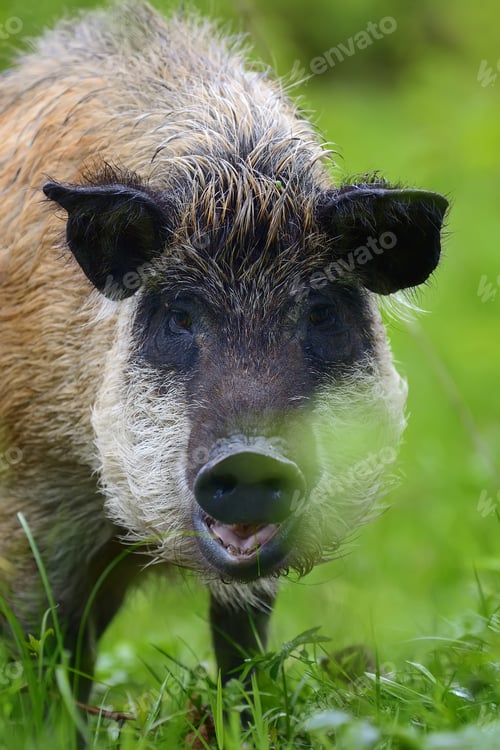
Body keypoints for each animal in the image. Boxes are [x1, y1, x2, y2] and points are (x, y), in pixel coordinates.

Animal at [0, 0, 448, 700]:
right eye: (181, 316)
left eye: (321, 313)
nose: (251, 458)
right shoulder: (31, 492)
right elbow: (44, 641)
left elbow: (240, 635)